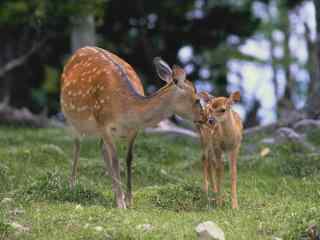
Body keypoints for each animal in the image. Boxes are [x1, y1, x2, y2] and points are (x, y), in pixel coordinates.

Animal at [60, 45, 202, 208]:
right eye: (197, 99)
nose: (207, 118)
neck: (126, 109)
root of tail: (81, 48)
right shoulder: (103, 123)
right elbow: (115, 159)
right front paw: (121, 204)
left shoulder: (134, 130)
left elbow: (129, 159)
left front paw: (128, 200)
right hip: (70, 116)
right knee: (77, 145)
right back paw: (72, 186)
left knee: (101, 148)